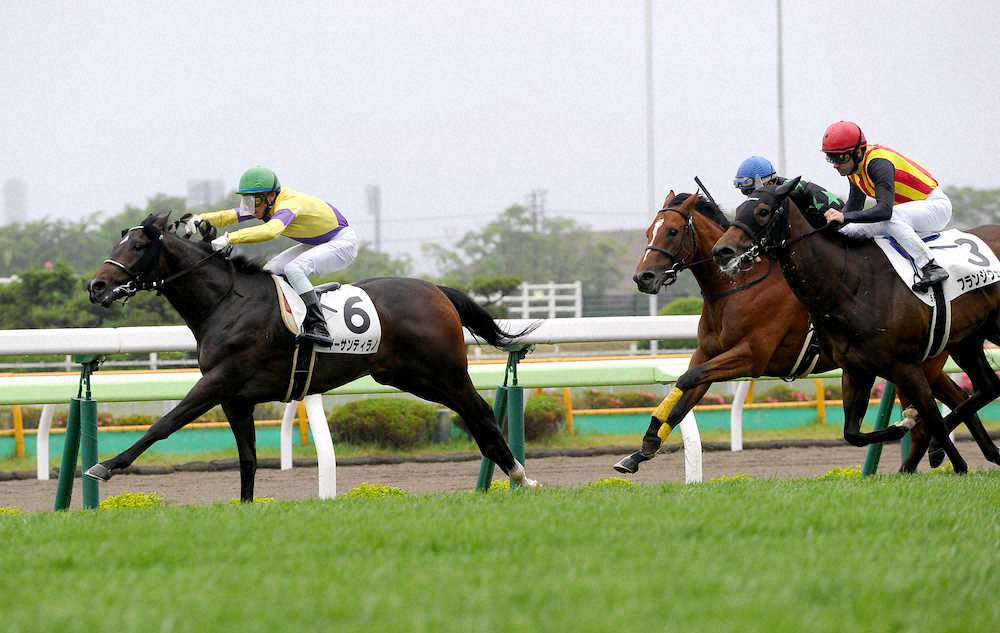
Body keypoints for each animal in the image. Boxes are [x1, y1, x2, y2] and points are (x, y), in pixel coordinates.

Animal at [84, 213, 541, 500]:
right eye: (117, 242)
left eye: (137, 245)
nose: (96, 285)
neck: (226, 302)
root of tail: (436, 289)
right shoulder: (235, 397)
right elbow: (248, 458)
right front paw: (246, 505)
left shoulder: (219, 379)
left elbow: (165, 424)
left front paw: (105, 466)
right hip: (410, 377)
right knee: (472, 414)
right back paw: (511, 474)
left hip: (444, 371)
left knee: (481, 412)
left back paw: (522, 476)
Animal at [614, 190, 1000, 474]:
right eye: (649, 231)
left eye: (672, 231)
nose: (643, 277)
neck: (738, 286)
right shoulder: (709, 353)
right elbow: (686, 392)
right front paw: (640, 452)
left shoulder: (751, 356)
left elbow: (687, 380)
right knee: (962, 394)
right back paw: (971, 453)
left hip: (922, 360)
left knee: (940, 406)